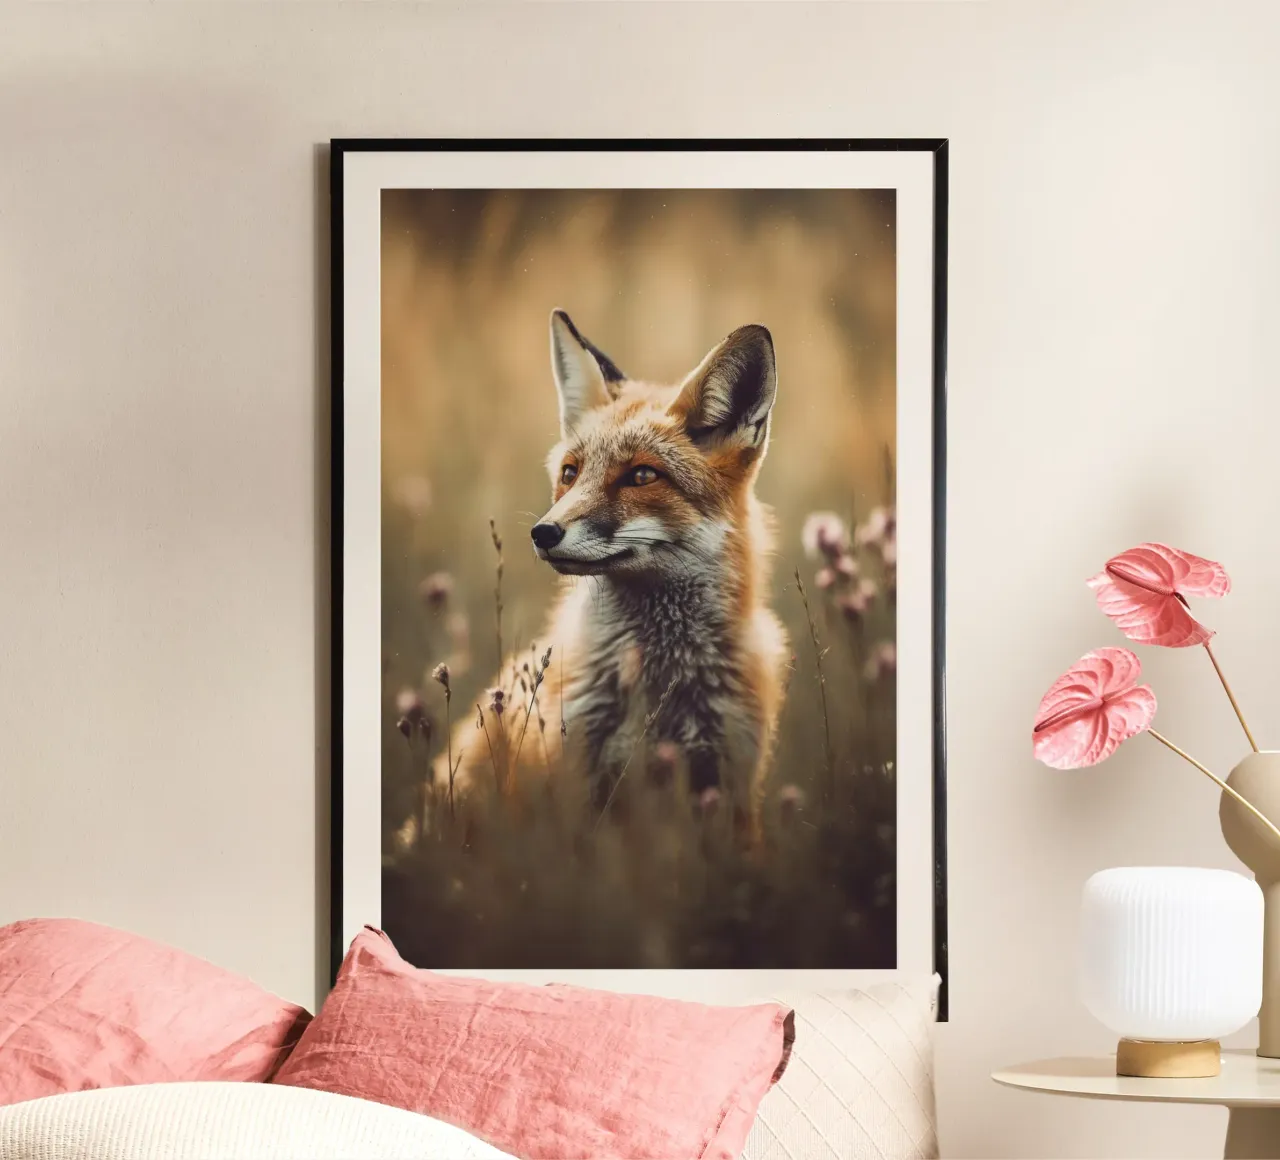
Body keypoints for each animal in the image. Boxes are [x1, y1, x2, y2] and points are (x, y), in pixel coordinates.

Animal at [432, 309, 789, 826]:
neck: (660, 687)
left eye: (641, 475)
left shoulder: (729, 783)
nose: (543, 533)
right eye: (570, 473)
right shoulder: (575, 778)